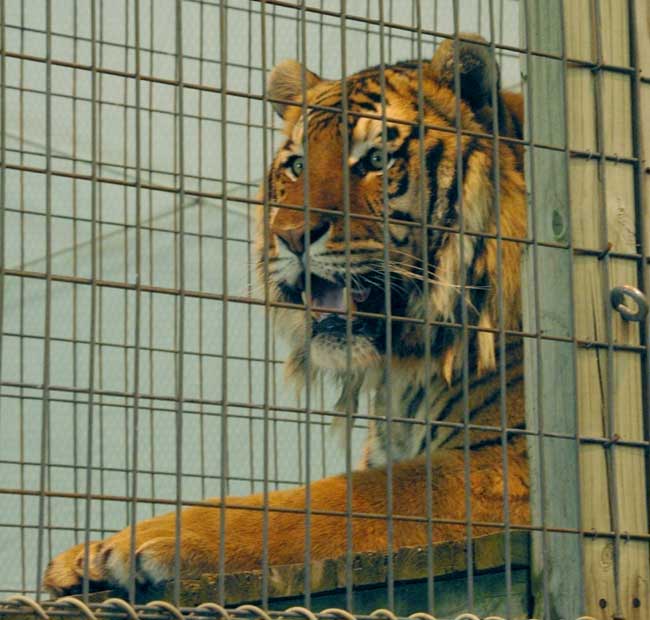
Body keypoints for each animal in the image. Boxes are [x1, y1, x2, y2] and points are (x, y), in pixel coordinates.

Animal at [44, 34, 530, 596]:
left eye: (376, 159)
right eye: (296, 164)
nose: (292, 236)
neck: (405, 373)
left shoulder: (507, 465)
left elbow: (338, 497)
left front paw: (125, 546)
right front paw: (82, 558)